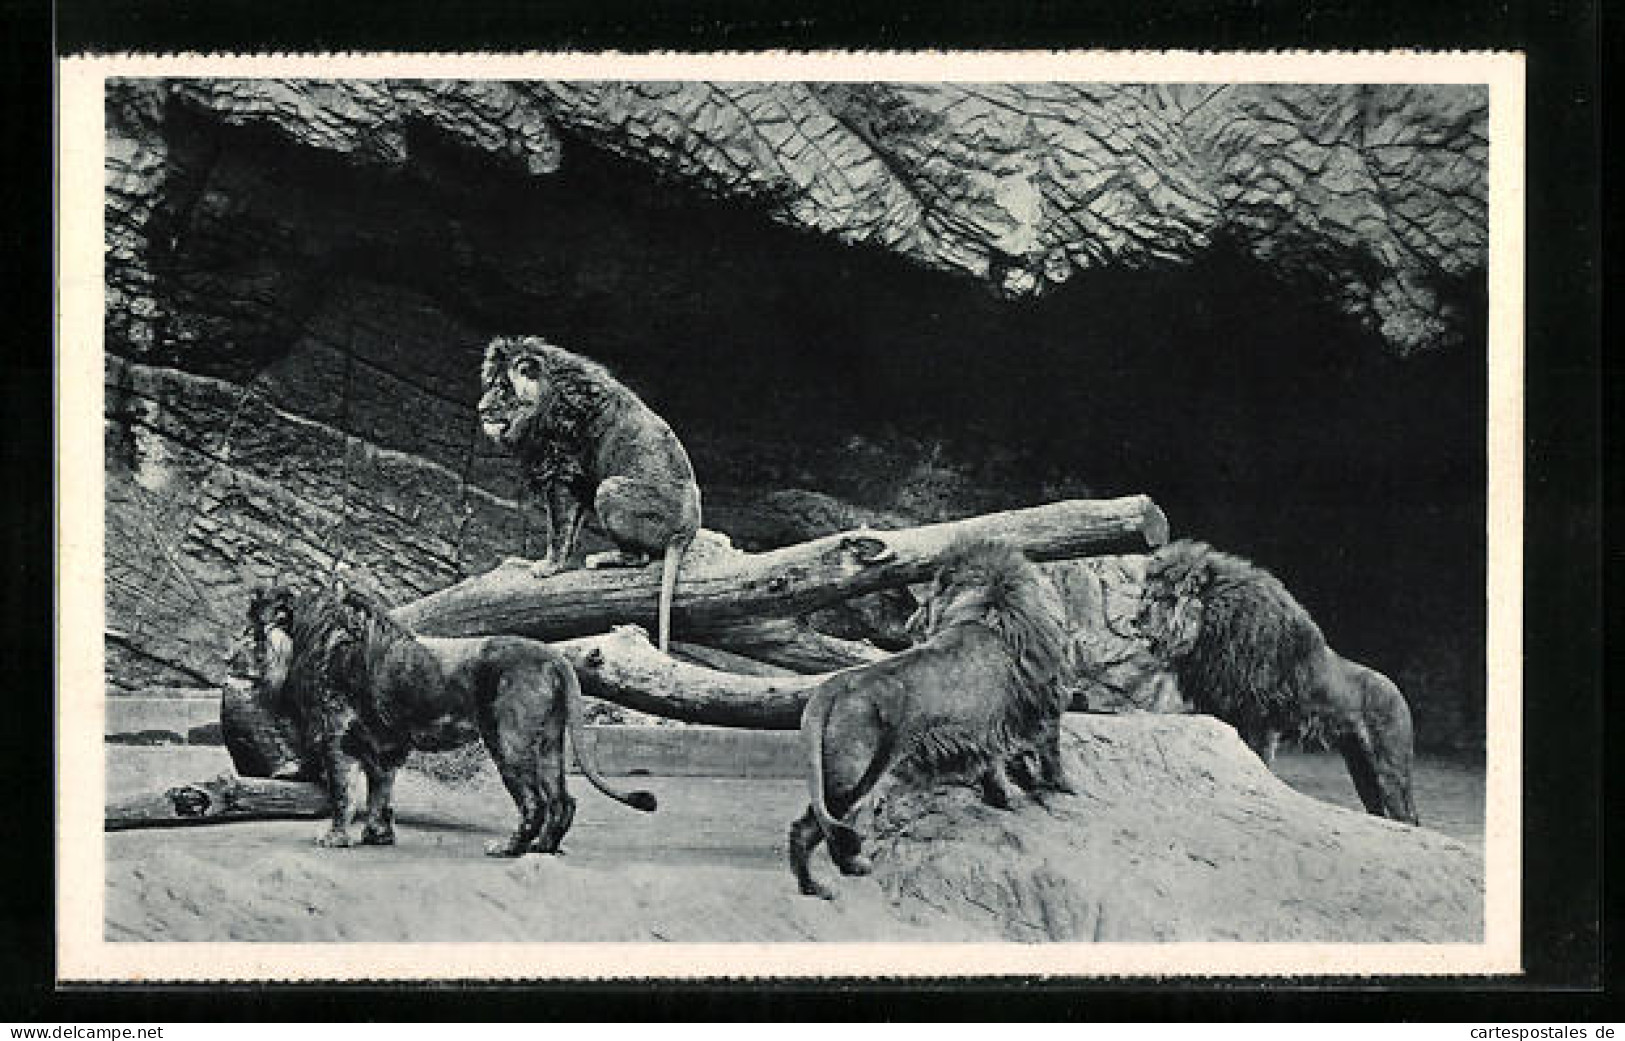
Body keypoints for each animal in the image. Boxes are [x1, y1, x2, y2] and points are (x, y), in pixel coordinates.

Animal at [229, 581, 659, 857]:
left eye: (249, 629)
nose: (227, 658)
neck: (305, 639)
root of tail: (553, 655)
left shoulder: (336, 736)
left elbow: (342, 794)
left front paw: (335, 838)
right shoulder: (382, 746)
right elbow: (379, 793)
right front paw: (376, 836)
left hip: (508, 739)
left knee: (534, 802)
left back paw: (508, 848)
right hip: (551, 741)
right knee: (562, 800)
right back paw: (544, 848)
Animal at [471, 337, 698, 649]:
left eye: (504, 387)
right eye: (492, 384)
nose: (480, 409)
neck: (546, 404)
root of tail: (686, 532)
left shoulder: (561, 472)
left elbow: (557, 530)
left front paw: (547, 567)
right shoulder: (578, 484)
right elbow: (569, 531)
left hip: (609, 489)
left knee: (640, 558)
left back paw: (601, 558)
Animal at [789, 539, 1072, 896]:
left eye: (925, 601)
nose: (910, 624)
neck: (990, 611)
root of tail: (835, 684)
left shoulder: (989, 728)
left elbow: (994, 766)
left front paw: (1004, 798)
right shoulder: (1046, 705)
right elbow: (1051, 753)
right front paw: (1063, 787)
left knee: (817, 827)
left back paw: (823, 881)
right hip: (854, 775)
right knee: (817, 828)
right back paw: (838, 875)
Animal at [1137, 539, 1417, 825]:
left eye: (1160, 598)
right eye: (1145, 595)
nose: (1134, 620)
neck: (1210, 629)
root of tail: (1400, 695)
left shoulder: (1260, 717)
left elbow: (1258, 757)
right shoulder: (1223, 710)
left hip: (1388, 765)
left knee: (1407, 815)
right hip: (1359, 765)